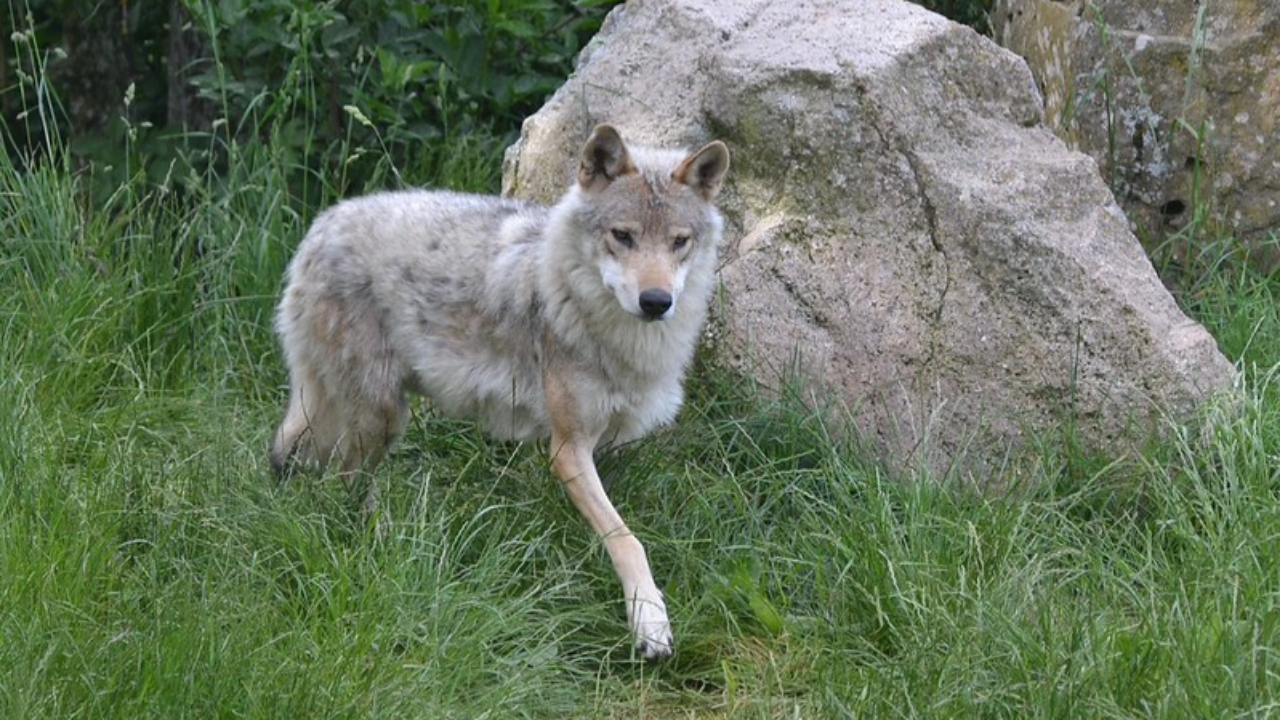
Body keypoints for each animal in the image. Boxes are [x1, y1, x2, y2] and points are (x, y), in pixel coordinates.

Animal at [269, 124, 730, 659]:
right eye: (623, 236)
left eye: (679, 242)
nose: (656, 301)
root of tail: (323, 223)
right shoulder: (568, 448)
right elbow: (627, 538)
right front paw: (649, 623)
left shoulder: (609, 442)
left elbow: (615, 520)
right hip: (381, 418)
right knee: (342, 480)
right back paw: (373, 536)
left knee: (293, 455)